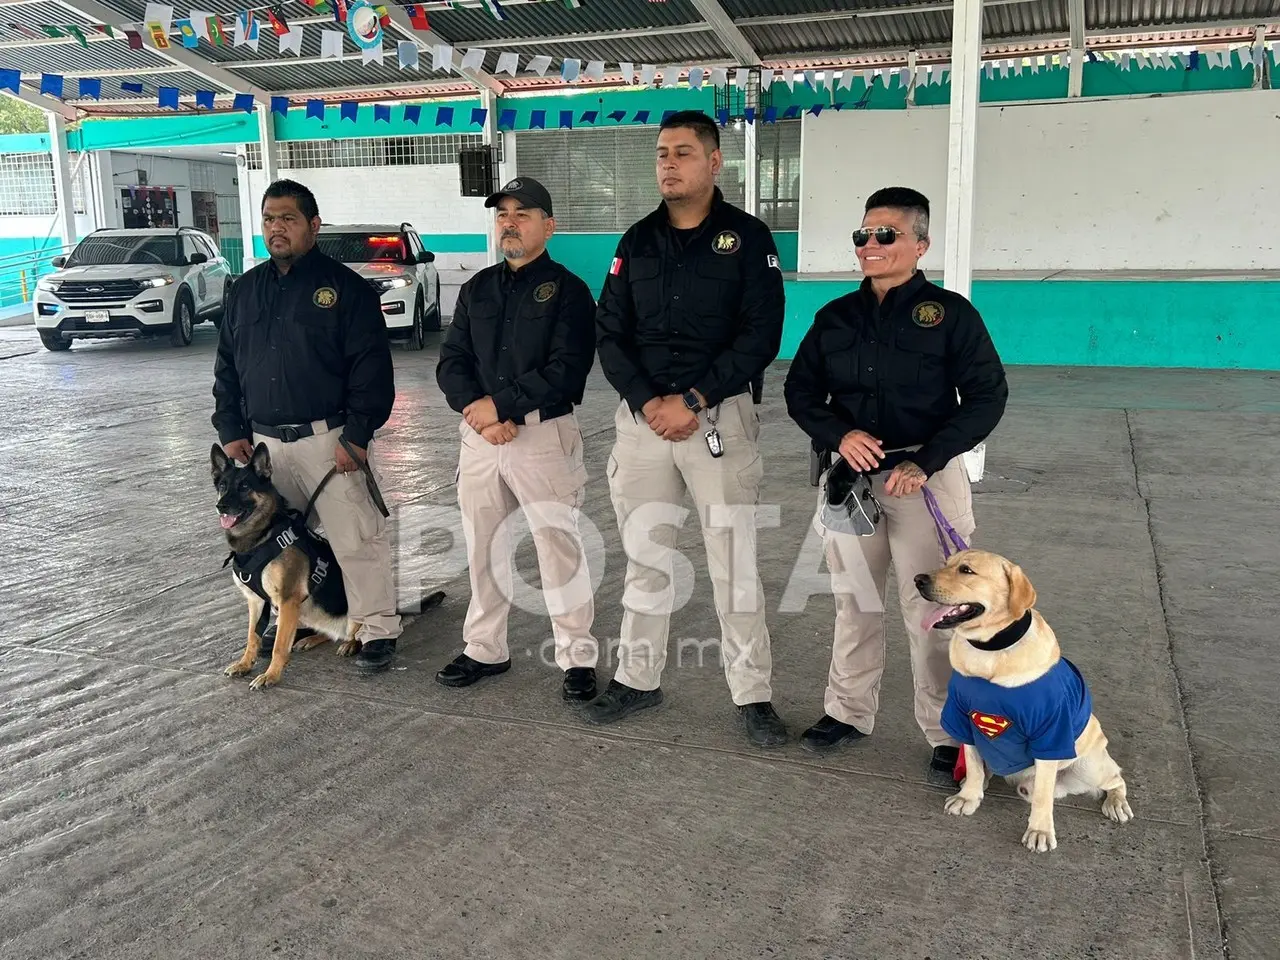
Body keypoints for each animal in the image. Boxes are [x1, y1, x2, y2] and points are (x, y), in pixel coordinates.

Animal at [211, 442, 360, 691]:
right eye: (223, 485)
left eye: (244, 486)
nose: (221, 506)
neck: (261, 537)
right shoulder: (256, 601)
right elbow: (252, 637)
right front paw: (245, 664)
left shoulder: (288, 600)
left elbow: (279, 647)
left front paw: (270, 675)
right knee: (329, 633)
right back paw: (310, 639)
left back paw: (354, 644)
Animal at [916, 552, 1136, 855]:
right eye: (947, 563)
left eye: (966, 570)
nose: (918, 579)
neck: (990, 650)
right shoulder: (962, 717)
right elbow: (972, 763)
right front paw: (969, 796)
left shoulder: (1051, 732)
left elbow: (1043, 796)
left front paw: (1040, 830)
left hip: (1091, 766)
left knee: (1116, 778)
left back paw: (1116, 803)